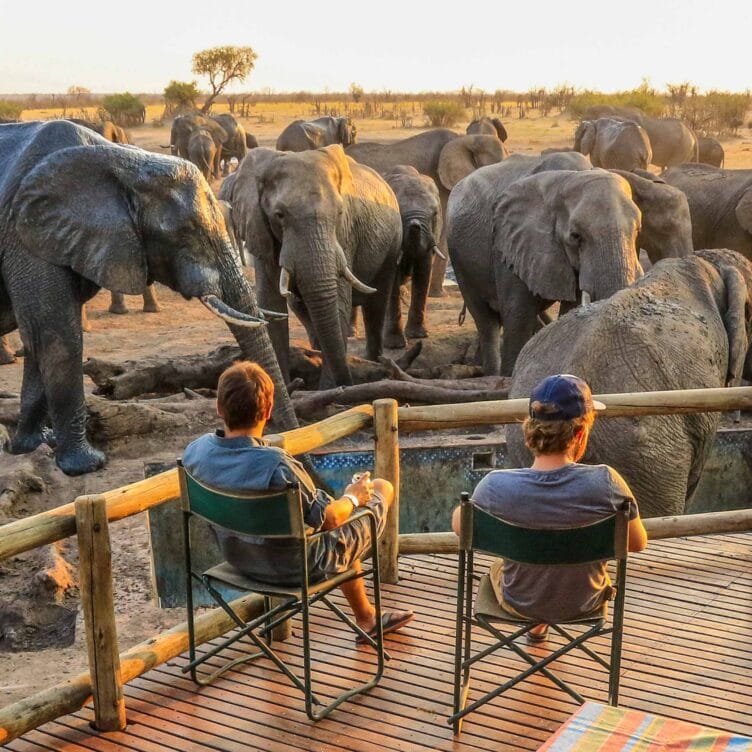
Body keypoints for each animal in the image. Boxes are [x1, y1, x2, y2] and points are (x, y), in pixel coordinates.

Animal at [0, 120, 298, 475]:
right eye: (187, 232)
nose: (285, 432)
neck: (124, 161)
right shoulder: (25, 235)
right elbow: (56, 336)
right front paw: (87, 464)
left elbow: (38, 339)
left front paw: (30, 445)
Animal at [221, 144, 402, 387]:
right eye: (279, 215)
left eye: (339, 213)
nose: (346, 383)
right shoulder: (260, 229)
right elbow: (271, 305)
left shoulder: (344, 235)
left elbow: (339, 303)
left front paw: (328, 390)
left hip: (392, 243)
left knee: (376, 303)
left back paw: (374, 360)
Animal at [381, 166, 443, 348]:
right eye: (398, 213)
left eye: (435, 214)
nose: (415, 224)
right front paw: (394, 345)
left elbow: (423, 272)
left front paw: (418, 336)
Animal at [447, 152, 642, 376]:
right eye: (575, 236)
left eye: (638, 230)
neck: (569, 176)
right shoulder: (511, 243)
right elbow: (518, 315)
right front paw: (510, 376)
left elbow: (570, 309)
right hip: (460, 260)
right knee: (486, 321)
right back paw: (491, 374)